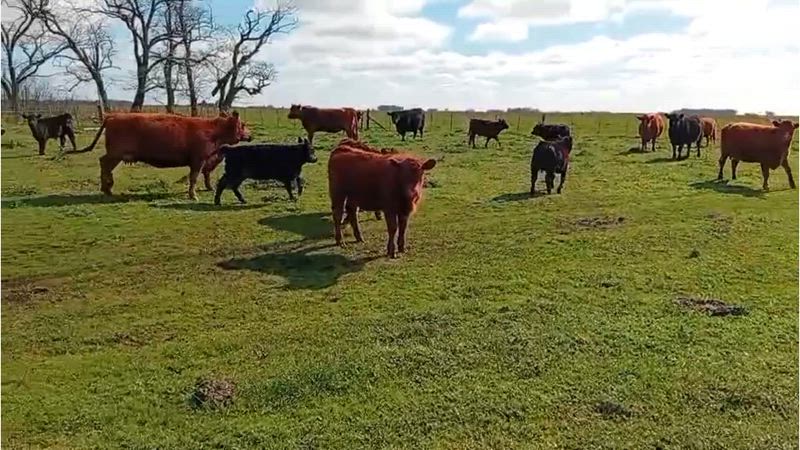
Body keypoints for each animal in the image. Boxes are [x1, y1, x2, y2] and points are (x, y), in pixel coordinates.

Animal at [79, 111, 251, 199]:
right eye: (242, 125)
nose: (250, 135)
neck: (213, 131)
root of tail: (113, 116)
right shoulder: (198, 159)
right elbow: (194, 178)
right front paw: (193, 195)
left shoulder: (204, 160)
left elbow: (205, 174)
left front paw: (209, 188)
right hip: (115, 154)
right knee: (104, 164)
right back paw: (107, 189)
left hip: (115, 155)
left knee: (105, 165)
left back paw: (107, 188)